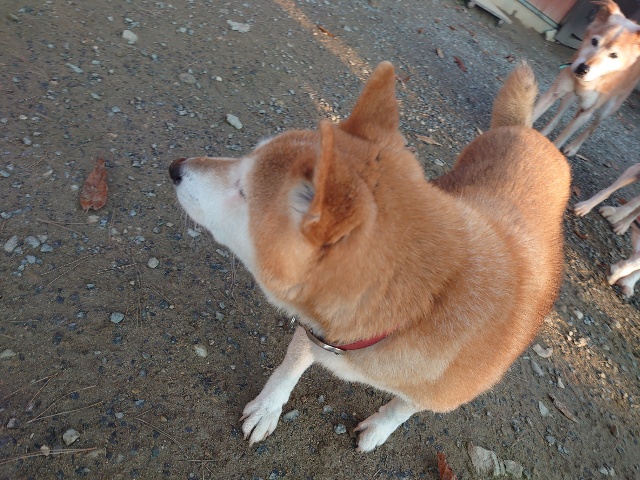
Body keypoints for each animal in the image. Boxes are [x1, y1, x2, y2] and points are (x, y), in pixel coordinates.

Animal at [169, 61, 570, 451]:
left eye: (243, 192)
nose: (175, 167)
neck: (422, 305)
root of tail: (529, 132)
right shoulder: (317, 332)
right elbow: (289, 367)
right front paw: (268, 408)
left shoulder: (435, 396)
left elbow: (402, 409)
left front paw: (378, 429)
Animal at [532, 0, 640, 157]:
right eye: (594, 41)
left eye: (614, 55)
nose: (582, 69)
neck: (590, 82)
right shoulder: (555, 92)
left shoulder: (586, 112)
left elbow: (562, 139)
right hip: (569, 97)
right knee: (559, 115)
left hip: (607, 109)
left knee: (593, 127)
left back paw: (574, 146)